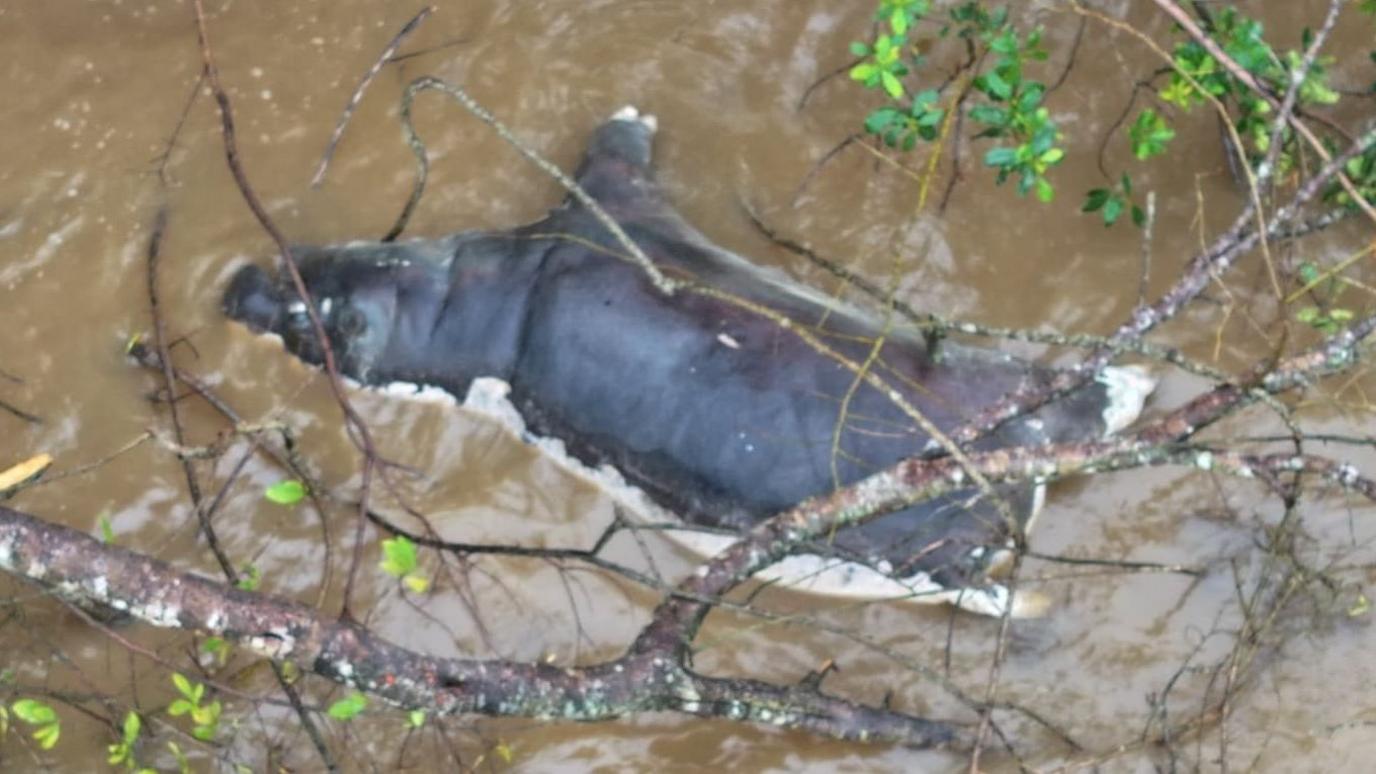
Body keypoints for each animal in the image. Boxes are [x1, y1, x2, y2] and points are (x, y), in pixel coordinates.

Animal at [224, 106, 1153, 616]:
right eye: (297, 256)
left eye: (308, 314)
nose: (236, 280)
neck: (495, 286)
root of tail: (1030, 447)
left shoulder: (598, 219)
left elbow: (612, 159)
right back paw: (1126, 384)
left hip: (927, 542)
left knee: (985, 584)